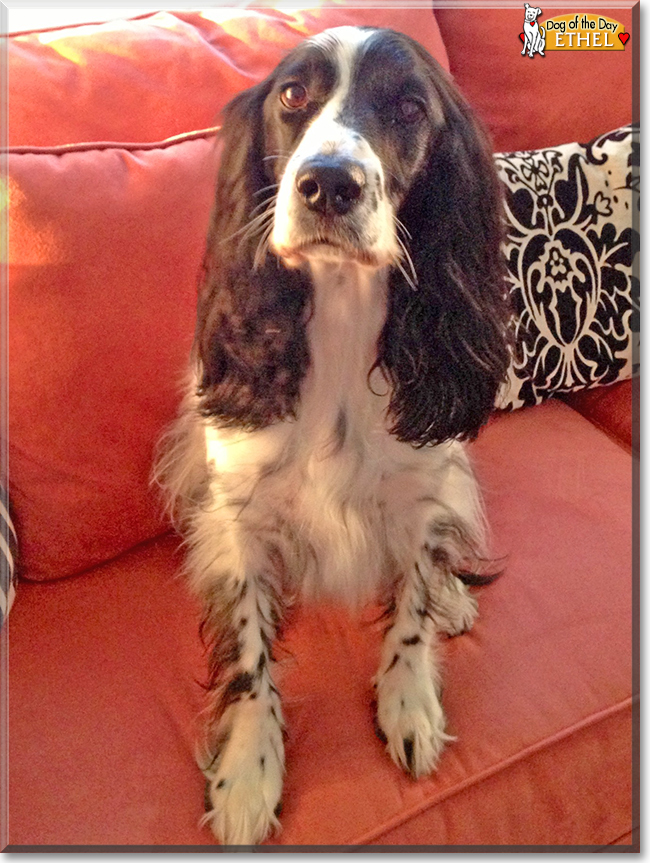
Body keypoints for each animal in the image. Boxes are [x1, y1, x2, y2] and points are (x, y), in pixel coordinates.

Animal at [154, 25, 508, 844]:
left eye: (409, 105)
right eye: (292, 96)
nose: (327, 183)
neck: (343, 320)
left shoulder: (422, 488)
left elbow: (411, 602)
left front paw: (409, 701)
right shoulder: (240, 511)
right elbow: (250, 646)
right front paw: (249, 771)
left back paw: (454, 598)